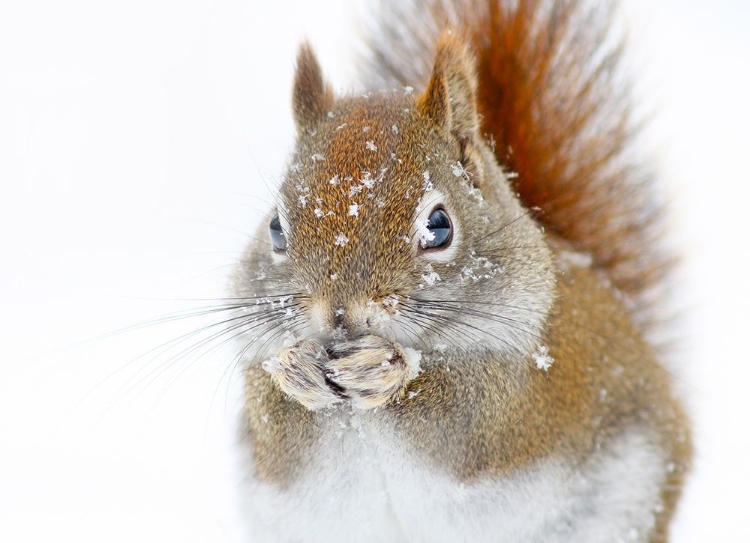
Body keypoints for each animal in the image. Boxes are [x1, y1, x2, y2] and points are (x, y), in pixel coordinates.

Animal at [231, 1, 692, 543]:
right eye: (275, 229)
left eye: (439, 226)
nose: (340, 314)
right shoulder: (274, 449)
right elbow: (278, 433)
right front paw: (294, 368)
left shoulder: (524, 396)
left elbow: (465, 422)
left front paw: (388, 369)